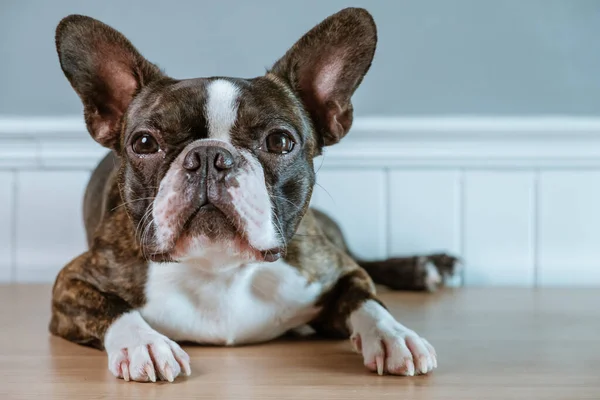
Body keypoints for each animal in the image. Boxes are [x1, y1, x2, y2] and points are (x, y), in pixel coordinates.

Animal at [50, 6, 460, 382]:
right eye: (145, 143)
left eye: (279, 141)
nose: (209, 156)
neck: (220, 269)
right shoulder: (72, 282)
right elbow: (115, 308)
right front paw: (145, 344)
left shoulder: (336, 270)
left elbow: (366, 298)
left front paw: (394, 335)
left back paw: (424, 267)